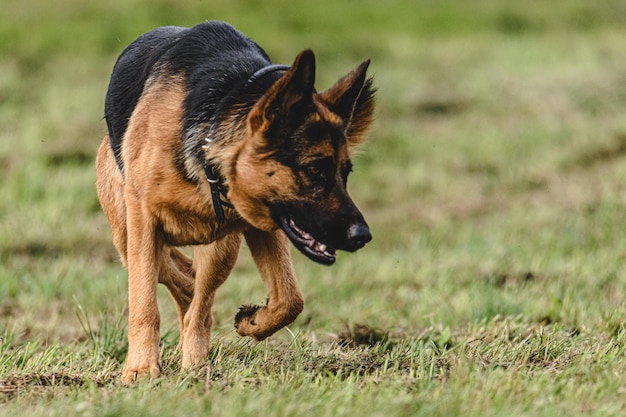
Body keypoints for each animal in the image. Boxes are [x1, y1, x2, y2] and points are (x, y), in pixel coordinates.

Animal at [95, 21, 372, 382]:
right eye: (313, 169)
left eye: (345, 173)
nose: (363, 236)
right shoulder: (142, 218)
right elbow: (145, 302)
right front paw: (141, 368)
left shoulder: (263, 224)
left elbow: (289, 299)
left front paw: (252, 322)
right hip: (125, 231)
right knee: (169, 273)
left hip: (221, 249)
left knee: (198, 301)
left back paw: (195, 360)